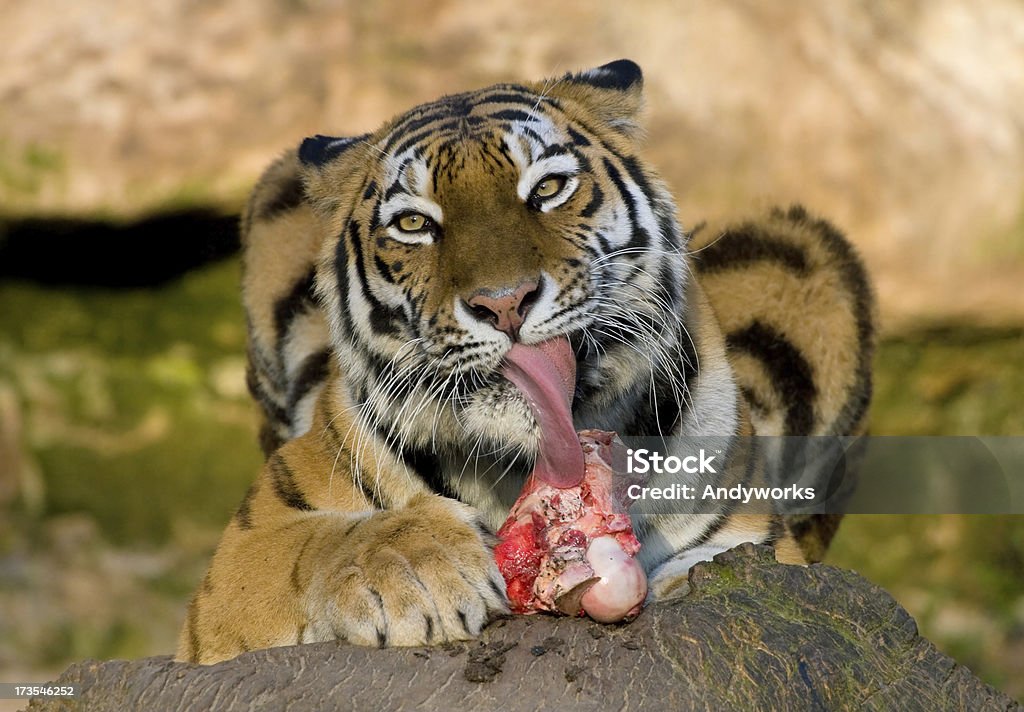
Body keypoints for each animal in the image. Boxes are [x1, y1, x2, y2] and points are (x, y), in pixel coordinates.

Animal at [176, 58, 872, 663]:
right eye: (413, 224)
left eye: (548, 188)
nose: (504, 303)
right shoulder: (245, 551)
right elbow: (314, 543)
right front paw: (418, 570)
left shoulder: (747, 532)